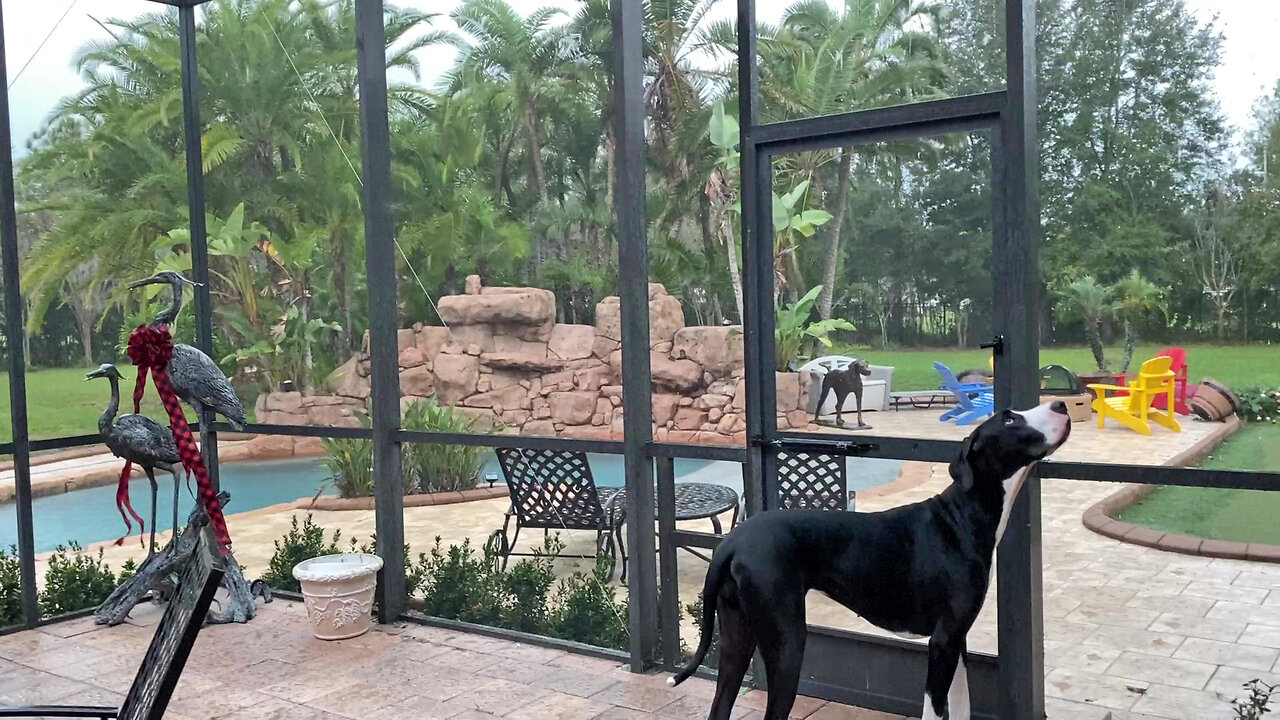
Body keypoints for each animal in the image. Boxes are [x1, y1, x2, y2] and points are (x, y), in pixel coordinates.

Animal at [670, 397, 1070, 717]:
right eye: (1009, 419)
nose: (1061, 404)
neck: (963, 515)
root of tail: (732, 541)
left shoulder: (957, 640)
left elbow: (961, 708)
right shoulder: (941, 644)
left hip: (737, 637)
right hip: (787, 643)